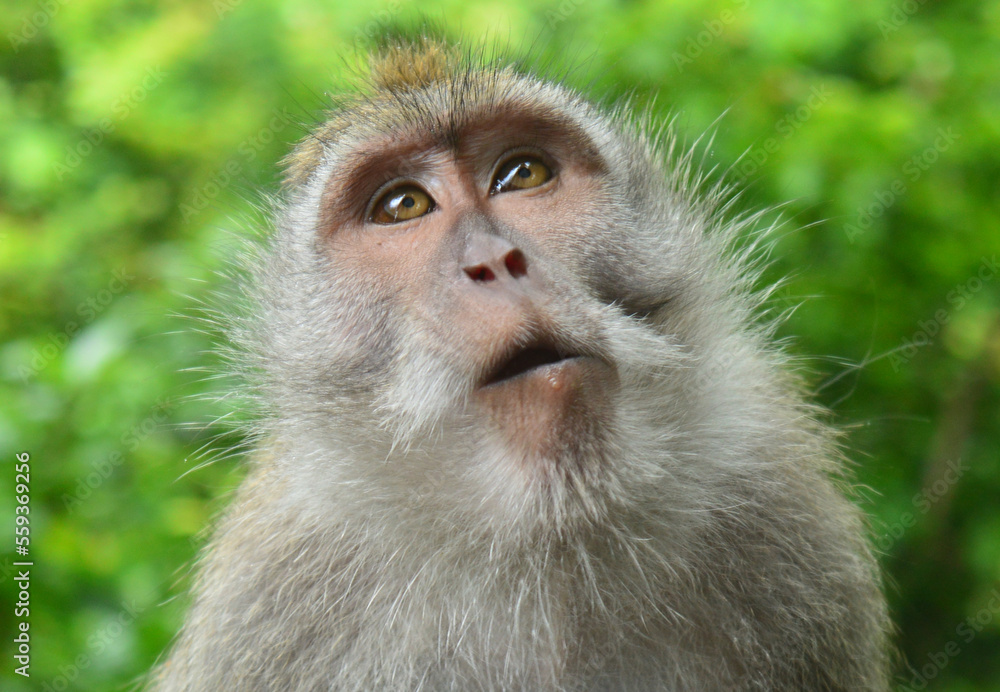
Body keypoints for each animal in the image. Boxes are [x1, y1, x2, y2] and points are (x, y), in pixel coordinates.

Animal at [151, 36, 892, 691]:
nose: (495, 261)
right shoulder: (267, 608)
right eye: (402, 205)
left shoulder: (787, 519)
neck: (556, 541)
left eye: (522, 174)